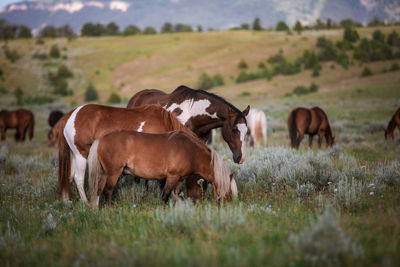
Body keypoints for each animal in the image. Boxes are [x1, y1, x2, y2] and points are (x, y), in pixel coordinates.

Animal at [57, 104, 212, 203]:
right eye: (203, 181)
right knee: (78, 178)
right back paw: (85, 202)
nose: (201, 201)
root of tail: (71, 115)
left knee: (68, 177)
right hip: (81, 155)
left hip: (74, 155)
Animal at [88, 131, 238, 208]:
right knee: (108, 191)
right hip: (113, 173)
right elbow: (165, 195)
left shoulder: (179, 179)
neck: (190, 151)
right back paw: (109, 209)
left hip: (104, 173)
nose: (229, 207)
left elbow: (175, 195)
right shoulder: (172, 176)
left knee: (99, 190)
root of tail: (101, 139)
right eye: (228, 192)